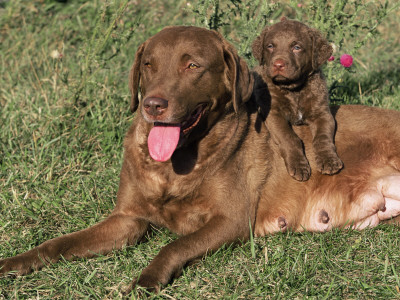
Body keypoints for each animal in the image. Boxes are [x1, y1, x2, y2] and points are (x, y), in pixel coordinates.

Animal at [252, 18, 342, 182]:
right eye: (270, 46)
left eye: (297, 47)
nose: (278, 65)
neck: (294, 90)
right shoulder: (273, 114)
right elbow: (289, 138)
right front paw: (299, 165)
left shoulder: (322, 114)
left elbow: (322, 137)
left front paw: (329, 160)